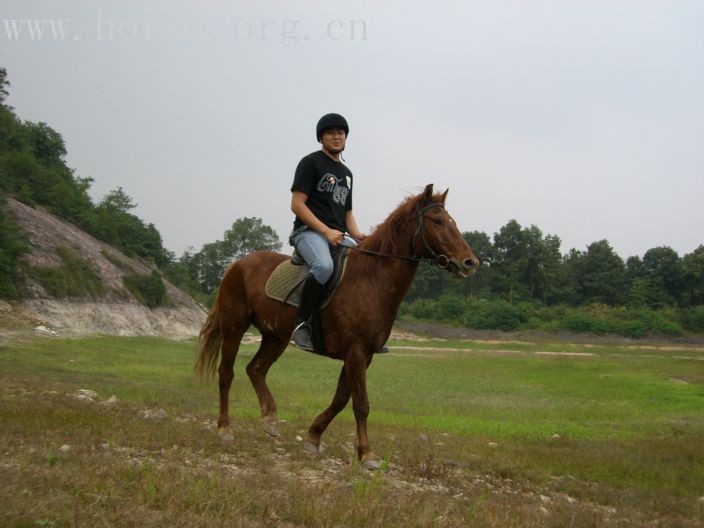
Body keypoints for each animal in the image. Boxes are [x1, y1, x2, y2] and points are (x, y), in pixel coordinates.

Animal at [195, 184, 478, 468]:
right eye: (437, 221)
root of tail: (237, 264)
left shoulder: (362, 355)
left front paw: (313, 436)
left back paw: (270, 419)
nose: (470, 262)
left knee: (256, 369)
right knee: (226, 374)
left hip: (275, 337)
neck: (371, 279)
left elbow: (341, 399)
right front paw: (367, 454)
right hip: (234, 327)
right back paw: (225, 429)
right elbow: (360, 403)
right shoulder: (356, 353)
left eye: (451, 221)